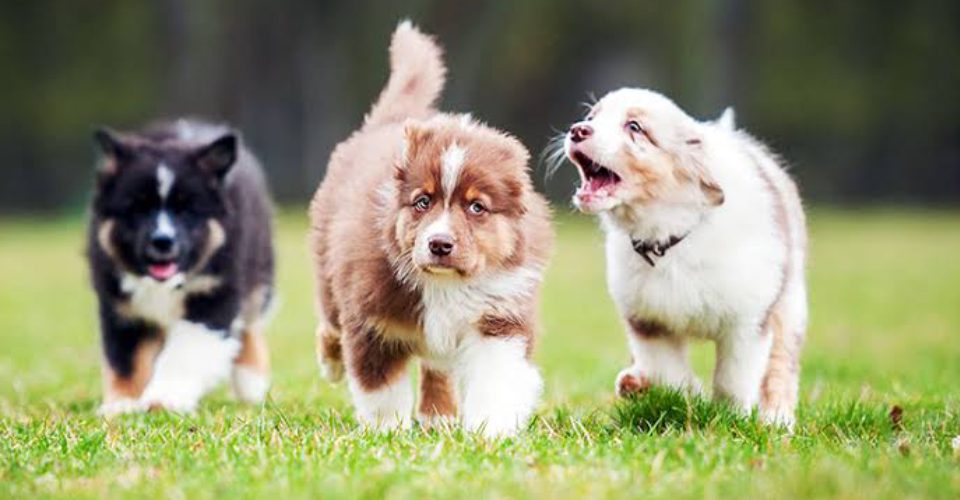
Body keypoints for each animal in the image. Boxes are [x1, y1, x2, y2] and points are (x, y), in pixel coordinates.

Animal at [88, 120, 276, 414]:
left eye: (187, 210)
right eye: (137, 208)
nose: (162, 241)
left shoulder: (214, 294)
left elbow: (185, 352)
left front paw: (165, 399)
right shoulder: (121, 309)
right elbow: (125, 360)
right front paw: (122, 404)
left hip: (259, 273)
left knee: (250, 323)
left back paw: (250, 382)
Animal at [312, 22, 552, 438]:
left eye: (476, 207)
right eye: (423, 201)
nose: (440, 244)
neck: (445, 285)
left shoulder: (500, 316)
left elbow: (496, 379)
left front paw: (490, 433)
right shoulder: (371, 322)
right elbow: (381, 390)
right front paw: (387, 432)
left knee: (437, 366)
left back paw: (438, 417)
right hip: (328, 264)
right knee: (329, 322)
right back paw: (332, 362)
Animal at [560, 89, 808, 426]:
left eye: (635, 127)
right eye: (592, 117)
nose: (577, 130)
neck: (668, 239)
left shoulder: (747, 320)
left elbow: (733, 379)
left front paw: (730, 418)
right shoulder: (648, 322)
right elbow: (669, 373)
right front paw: (688, 396)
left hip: (790, 304)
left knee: (782, 366)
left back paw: (777, 421)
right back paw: (635, 383)